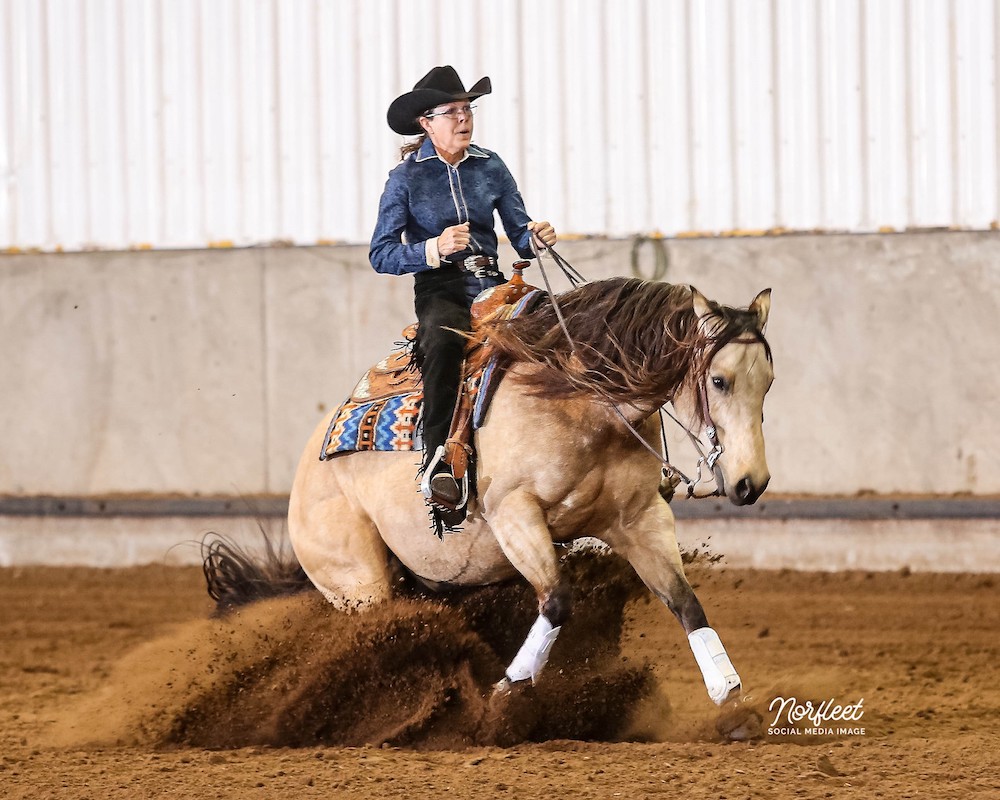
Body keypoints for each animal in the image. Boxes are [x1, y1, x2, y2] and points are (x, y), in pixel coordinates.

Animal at [287, 276, 773, 706]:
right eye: (719, 381)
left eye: (767, 383)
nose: (752, 482)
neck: (581, 404)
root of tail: (302, 477)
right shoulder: (514, 513)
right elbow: (556, 601)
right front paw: (509, 691)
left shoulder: (639, 517)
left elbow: (686, 602)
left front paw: (728, 694)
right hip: (359, 586)